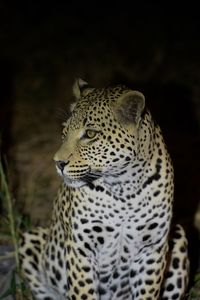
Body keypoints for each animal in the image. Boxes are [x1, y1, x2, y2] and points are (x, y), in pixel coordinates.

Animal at [18, 78, 189, 298]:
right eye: (64, 132)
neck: (124, 188)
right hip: (30, 241)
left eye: (90, 134)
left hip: (178, 235)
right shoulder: (81, 250)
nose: (57, 163)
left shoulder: (151, 249)